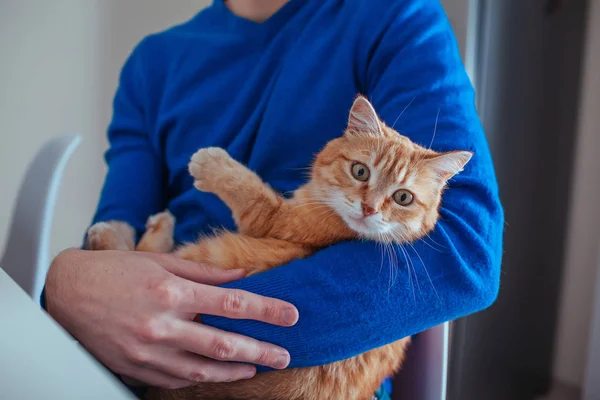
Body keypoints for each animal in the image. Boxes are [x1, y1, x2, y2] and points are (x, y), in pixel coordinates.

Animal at [86, 95, 474, 398]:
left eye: (403, 197)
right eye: (360, 171)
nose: (369, 208)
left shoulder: (275, 220)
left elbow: (251, 192)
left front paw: (213, 163)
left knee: (129, 252)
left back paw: (118, 230)